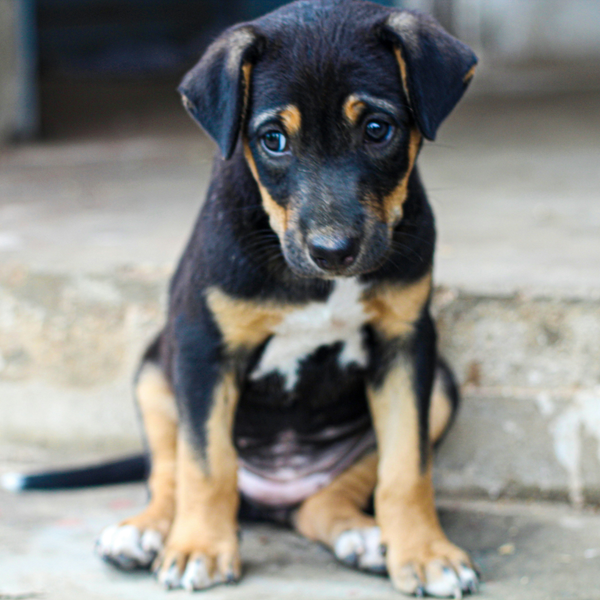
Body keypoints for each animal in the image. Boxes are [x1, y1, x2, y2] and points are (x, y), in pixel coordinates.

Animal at [95, 0, 478, 596]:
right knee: (169, 472)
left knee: (325, 499)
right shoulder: (203, 347)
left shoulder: (407, 343)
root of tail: (272, 495)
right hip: (154, 375)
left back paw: (361, 535)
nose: (333, 251)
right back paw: (146, 532)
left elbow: (406, 468)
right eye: (273, 139)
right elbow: (206, 464)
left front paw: (425, 553)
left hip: (439, 384)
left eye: (377, 129)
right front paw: (199, 548)